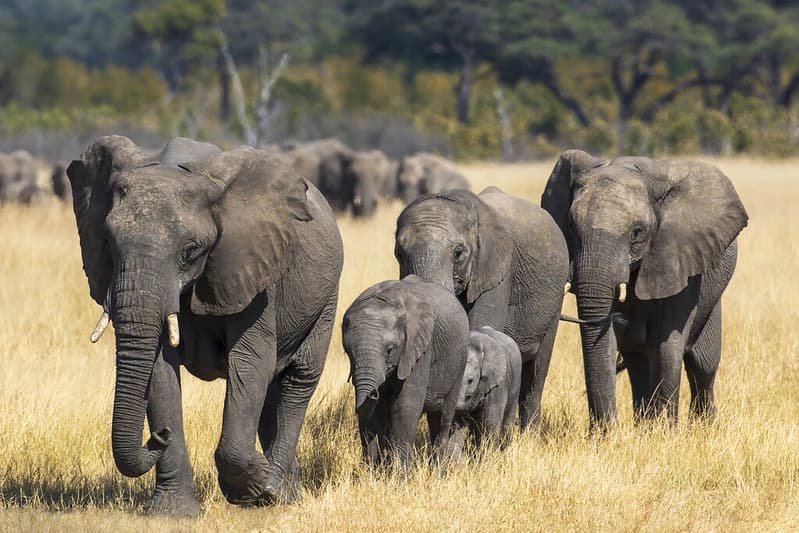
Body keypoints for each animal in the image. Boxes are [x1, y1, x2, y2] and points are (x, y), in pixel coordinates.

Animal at [66, 135, 343, 517]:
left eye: (191, 250)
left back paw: (273, 491)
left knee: (297, 379)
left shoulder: (253, 268)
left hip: (326, 295)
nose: (158, 436)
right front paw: (172, 513)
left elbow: (251, 362)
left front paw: (251, 486)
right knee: (272, 391)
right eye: (108, 242)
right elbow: (159, 371)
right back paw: (285, 492)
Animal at [341, 275, 469, 469]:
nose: (374, 393)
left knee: (442, 418)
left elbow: (405, 407)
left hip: (459, 363)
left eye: (390, 350)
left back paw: (439, 471)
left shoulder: (420, 348)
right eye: (348, 352)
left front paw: (399, 474)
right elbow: (371, 416)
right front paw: (372, 472)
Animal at [541, 150, 748, 426]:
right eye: (572, 226)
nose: (608, 426)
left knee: (702, 362)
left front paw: (665, 430)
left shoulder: (680, 259)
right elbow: (608, 342)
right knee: (637, 360)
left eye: (637, 232)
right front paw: (608, 433)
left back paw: (703, 425)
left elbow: (667, 344)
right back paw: (644, 424)